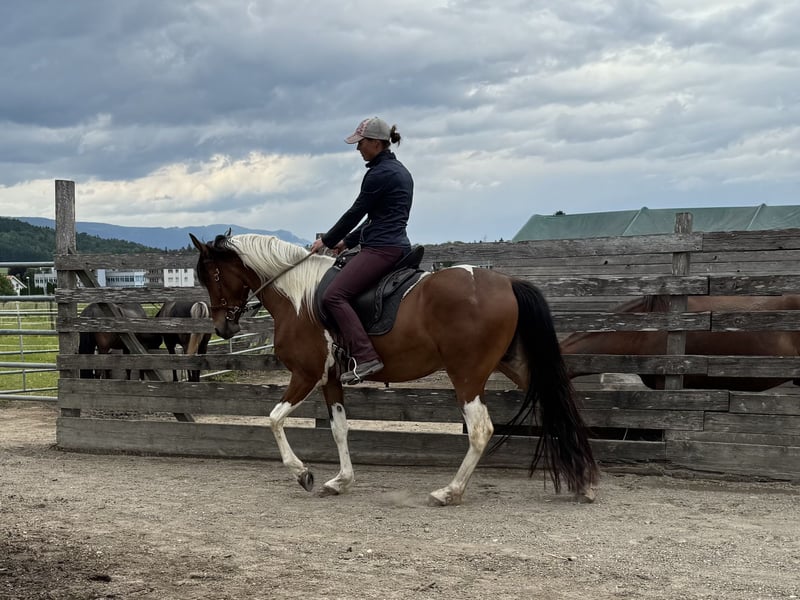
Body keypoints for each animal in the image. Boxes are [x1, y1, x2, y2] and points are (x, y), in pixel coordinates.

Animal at [190, 232, 598, 506]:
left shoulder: (306, 375)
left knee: (481, 429)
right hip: (513, 365)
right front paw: (340, 481)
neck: (297, 295)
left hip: (467, 374)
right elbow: (339, 429)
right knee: (560, 405)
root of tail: (507, 282)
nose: (223, 328)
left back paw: (449, 492)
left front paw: (303, 473)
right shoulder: (331, 380)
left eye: (210, 276)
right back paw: (586, 483)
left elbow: (273, 419)